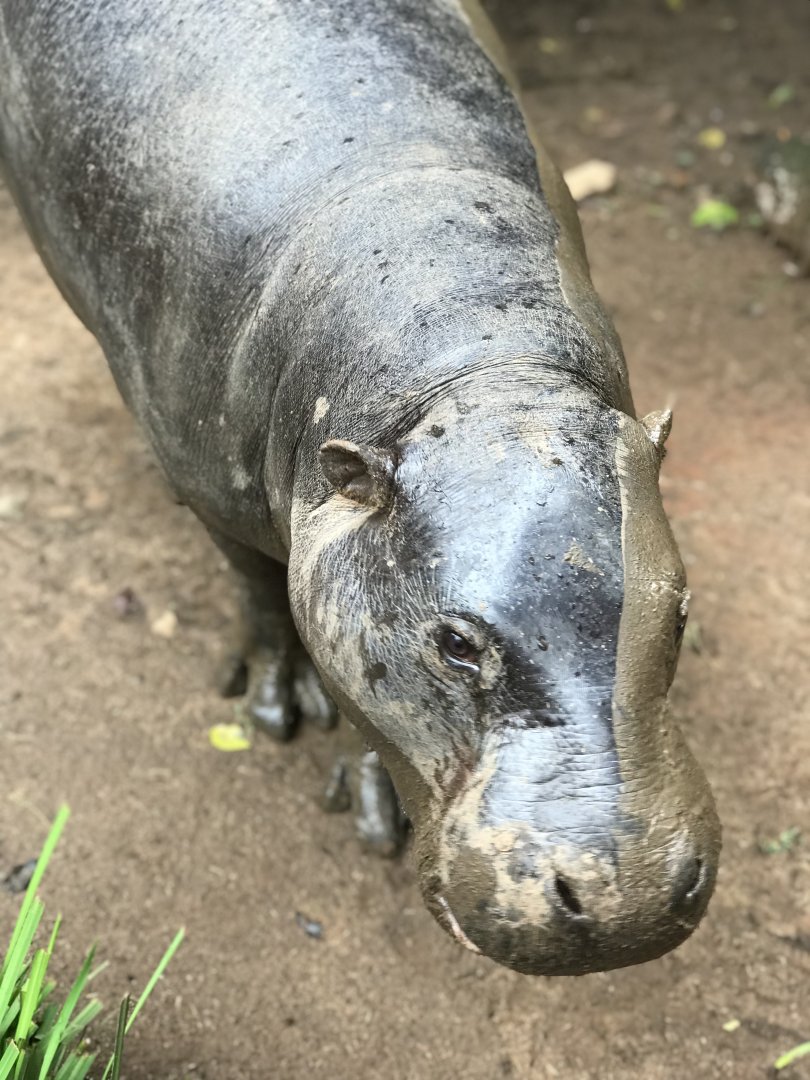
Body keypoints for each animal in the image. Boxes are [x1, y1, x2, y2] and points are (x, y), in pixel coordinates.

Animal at [0, 0, 720, 975]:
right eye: (453, 643)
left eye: (679, 612)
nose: (629, 901)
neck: (476, 366)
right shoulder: (212, 490)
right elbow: (261, 593)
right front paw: (276, 709)